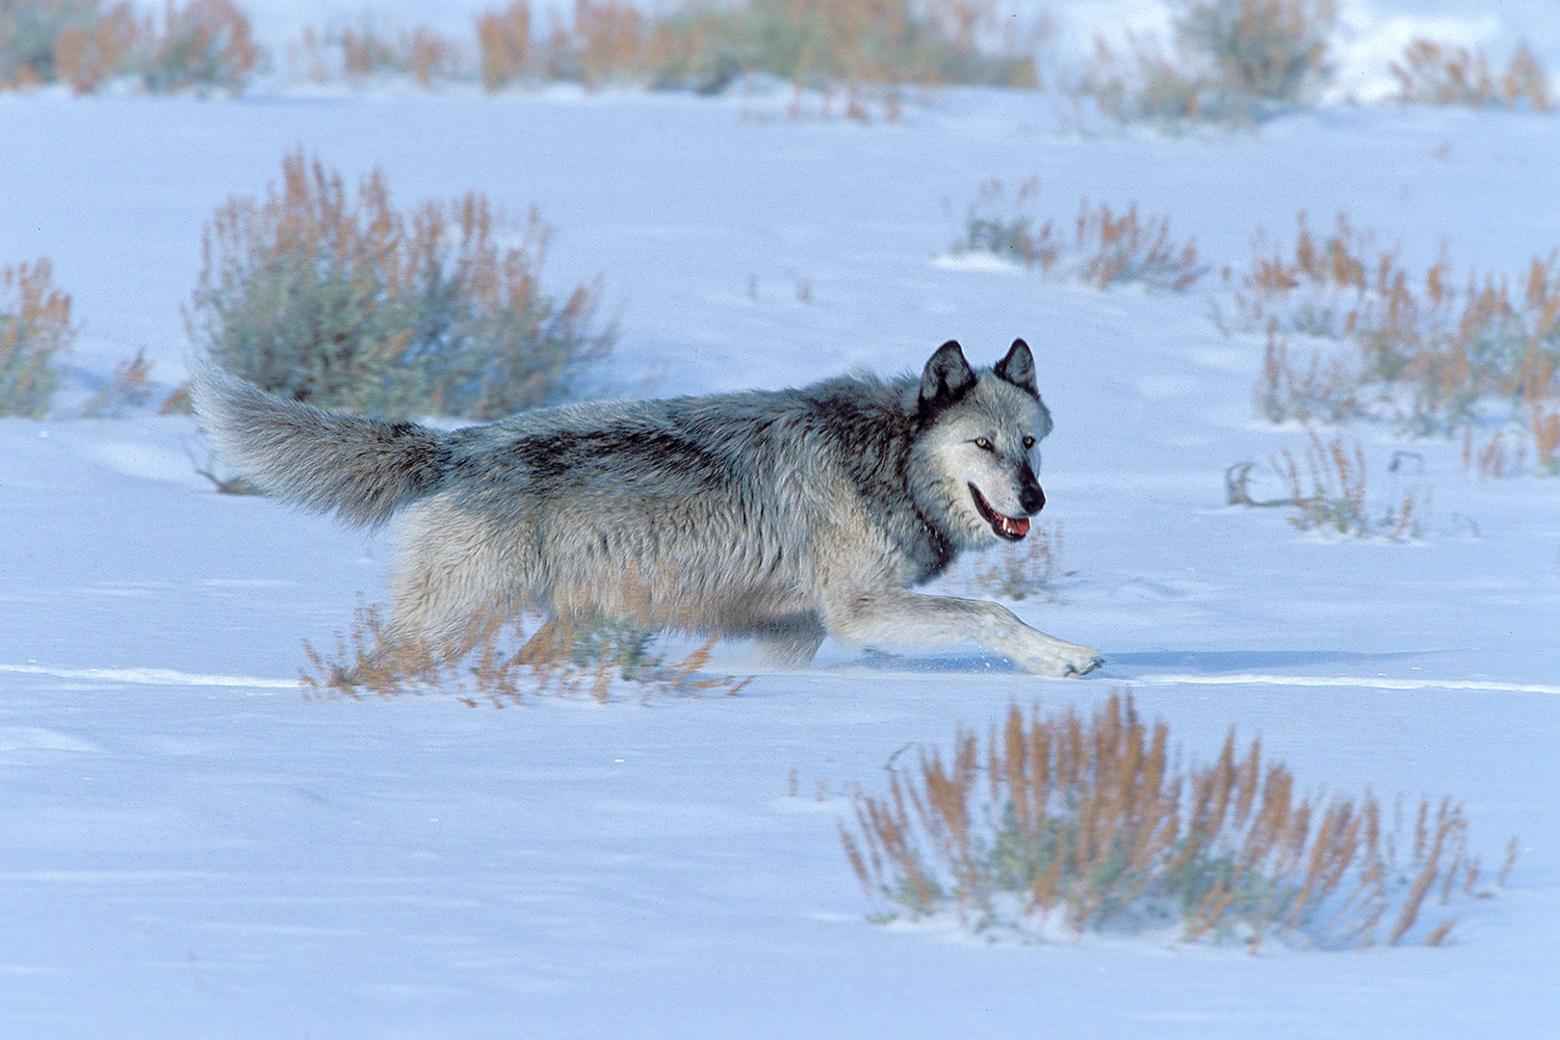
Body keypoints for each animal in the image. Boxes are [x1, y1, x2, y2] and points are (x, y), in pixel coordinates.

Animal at [191, 341, 1098, 679]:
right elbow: (991, 614)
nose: (1035, 498)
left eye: (1030, 443)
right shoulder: (861, 611)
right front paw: (1064, 658)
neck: (887, 461)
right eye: (982, 445)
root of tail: (455, 447)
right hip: (458, 620)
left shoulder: (793, 635)